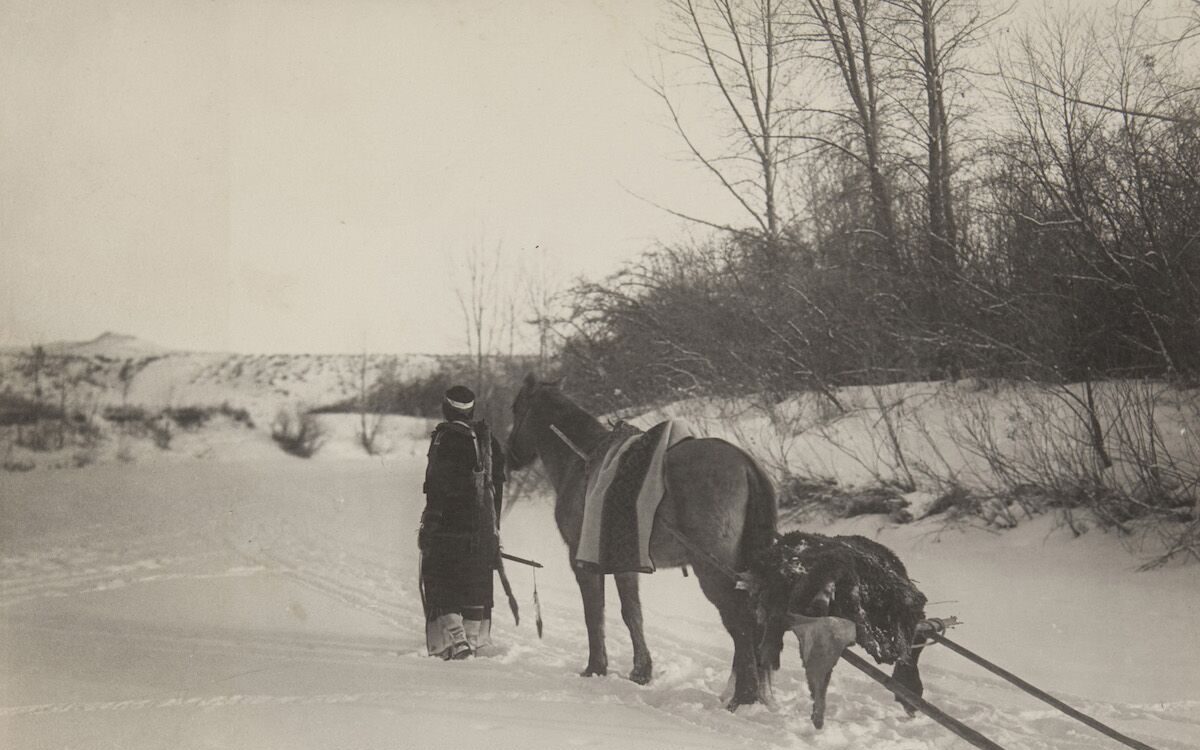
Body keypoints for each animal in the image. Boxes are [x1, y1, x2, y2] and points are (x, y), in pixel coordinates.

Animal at [504, 374, 777, 705]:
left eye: (516, 408)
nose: (509, 455)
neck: (582, 461)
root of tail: (744, 463)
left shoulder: (581, 560)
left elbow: (594, 613)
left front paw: (595, 667)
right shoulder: (625, 562)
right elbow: (632, 613)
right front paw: (641, 672)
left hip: (713, 571)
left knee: (741, 624)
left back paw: (744, 696)